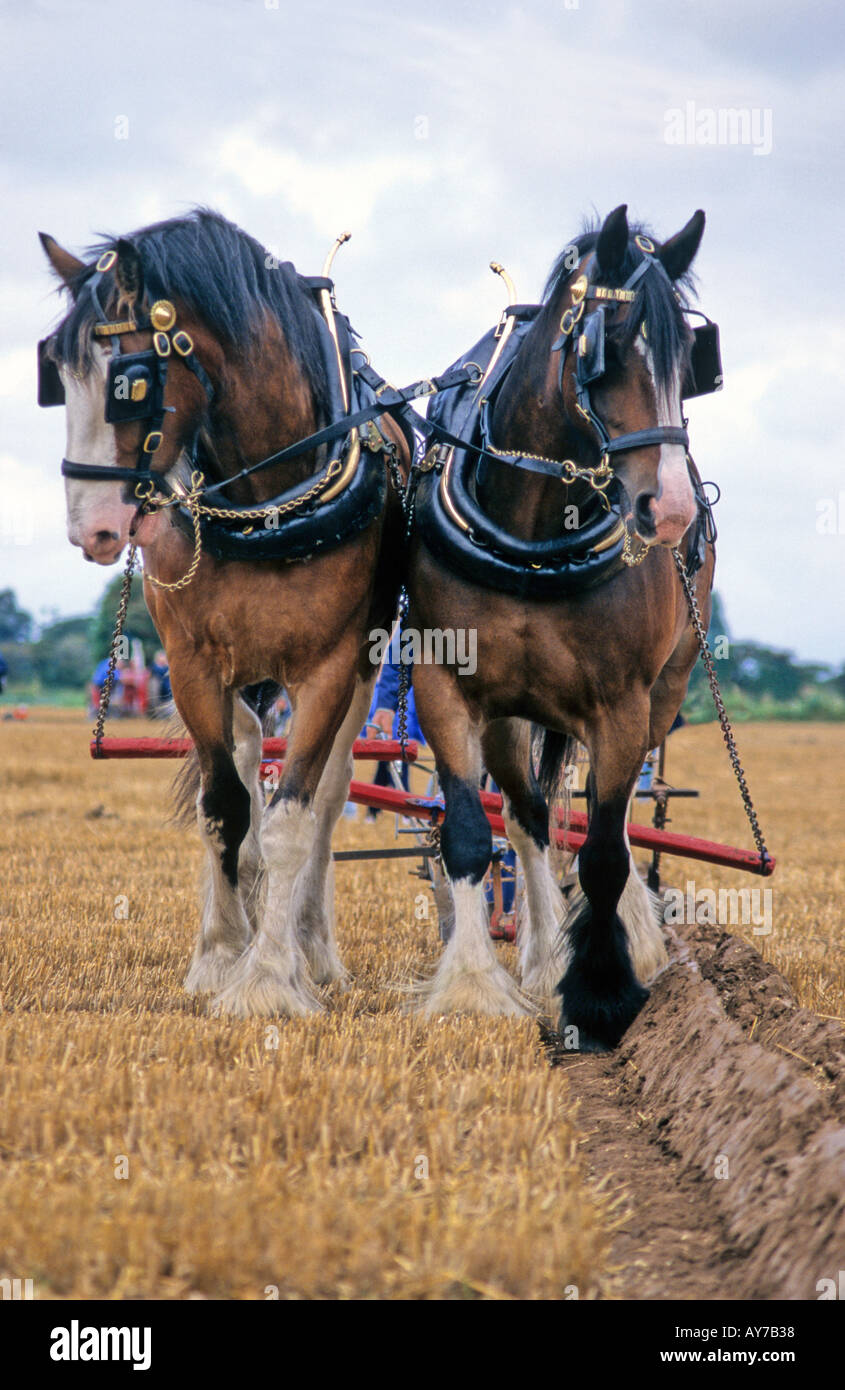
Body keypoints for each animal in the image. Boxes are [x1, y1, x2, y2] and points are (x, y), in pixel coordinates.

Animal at [38, 209, 411, 1017]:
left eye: (129, 382)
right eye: (55, 372)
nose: (91, 529)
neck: (268, 500)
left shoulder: (330, 670)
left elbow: (294, 820)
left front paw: (270, 980)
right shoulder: (191, 665)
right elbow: (224, 810)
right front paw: (218, 959)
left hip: (359, 676)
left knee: (330, 795)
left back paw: (312, 950)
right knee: (243, 764)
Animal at [407, 204, 717, 1050]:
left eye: (691, 360)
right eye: (606, 343)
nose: (670, 509)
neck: (533, 531)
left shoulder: (619, 705)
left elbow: (607, 851)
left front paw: (603, 995)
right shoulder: (443, 685)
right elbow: (469, 833)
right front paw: (474, 988)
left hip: (662, 693)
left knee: (608, 823)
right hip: (508, 715)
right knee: (528, 819)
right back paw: (542, 956)